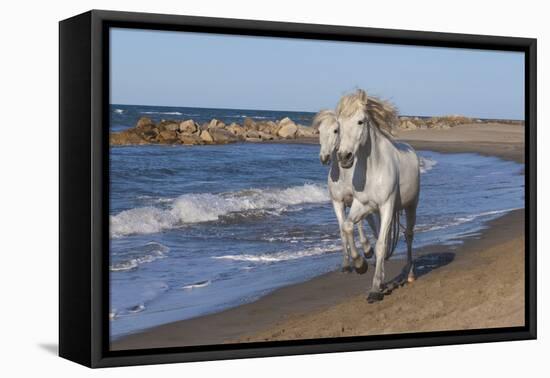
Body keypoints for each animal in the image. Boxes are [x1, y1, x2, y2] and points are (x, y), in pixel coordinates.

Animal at [314, 110, 380, 274]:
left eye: (335, 130)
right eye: (319, 131)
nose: (324, 157)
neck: (343, 176)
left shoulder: (357, 201)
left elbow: (359, 224)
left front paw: (367, 251)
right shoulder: (338, 203)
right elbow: (343, 230)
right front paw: (346, 264)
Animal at [336, 90, 422, 302]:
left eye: (360, 121)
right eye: (338, 125)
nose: (344, 157)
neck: (374, 167)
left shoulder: (387, 206)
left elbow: (382, 245)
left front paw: (375, 290)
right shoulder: (361, 204)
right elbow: (348, 226)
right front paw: (360, 264)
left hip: (411, 206)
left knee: (409, 235)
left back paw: (410, 275)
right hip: (374, 212)